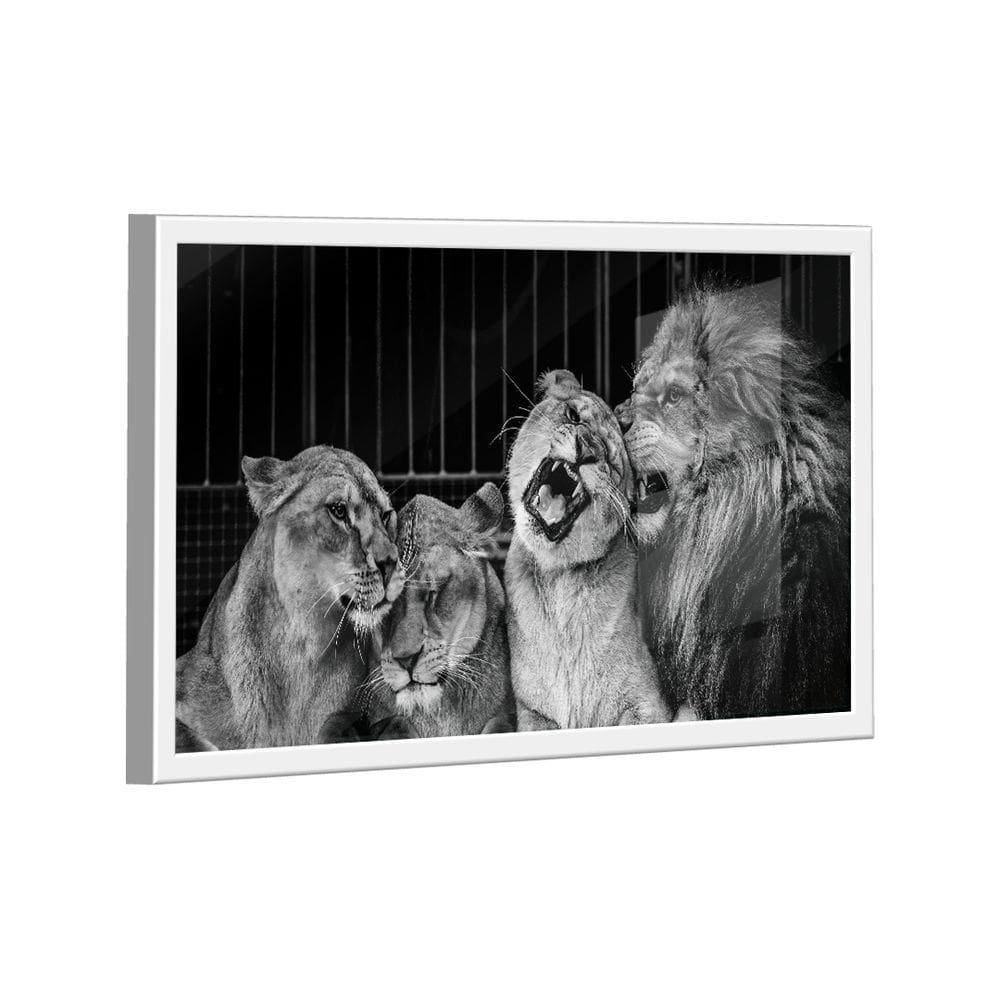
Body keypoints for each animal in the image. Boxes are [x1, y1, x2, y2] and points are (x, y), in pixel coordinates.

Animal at [505, 370, 671, 731]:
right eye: (573, 416)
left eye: (611, 461)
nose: (587, 450)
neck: (561, 578)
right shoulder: (532, 711)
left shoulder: (648, 705)